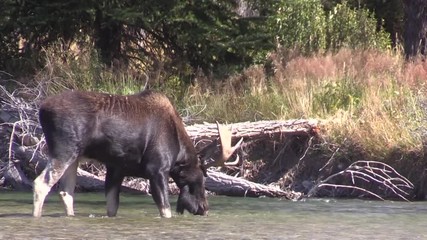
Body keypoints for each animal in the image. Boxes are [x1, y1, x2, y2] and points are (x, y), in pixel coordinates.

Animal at [31, 89, 242, 218]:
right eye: (200, 178)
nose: (204, 209)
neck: (178, 154)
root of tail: (41, 109)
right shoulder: (157, 169)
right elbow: (165, 209)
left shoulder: (116, 168)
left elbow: (112, 207)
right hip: (63, 150)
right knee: (41, 184)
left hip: (74, 157)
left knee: (66, 192)